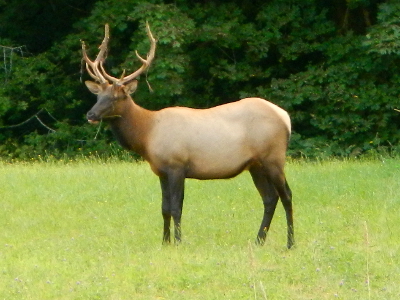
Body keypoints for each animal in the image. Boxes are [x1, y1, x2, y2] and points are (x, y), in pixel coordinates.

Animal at [80, 22, 294, 248]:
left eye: (115, 97)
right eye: (98, 96)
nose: (90, 114)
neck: (147, 135)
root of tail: (285, 117)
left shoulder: (177, 165)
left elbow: (176, 208)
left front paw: (178, 241)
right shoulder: (161, 170)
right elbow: (164, 208)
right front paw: (165, 242)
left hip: (274, 157)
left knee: (287, 195)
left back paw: (290, 243)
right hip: (255, 164)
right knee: (270, 198)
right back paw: (258, 241)